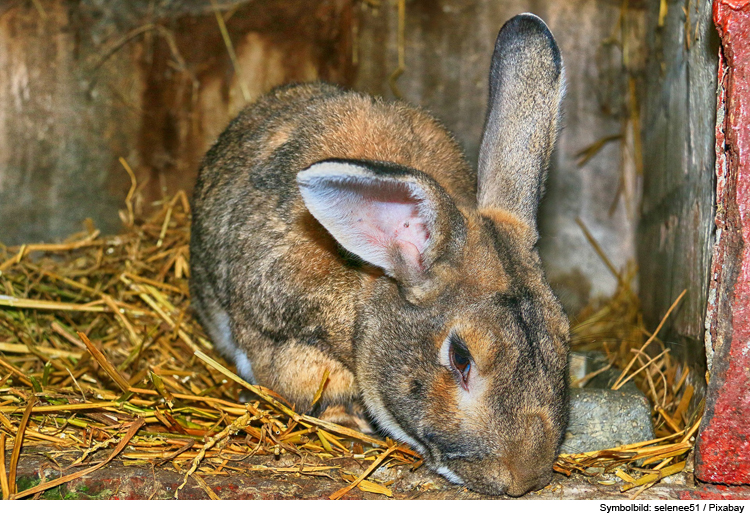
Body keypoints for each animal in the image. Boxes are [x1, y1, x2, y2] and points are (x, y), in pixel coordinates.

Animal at [191, 14, 572, 498]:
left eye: (563, 336)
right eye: (461, 358)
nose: (525, 478)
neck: (368, 284)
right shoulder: (281, 337)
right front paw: (348, 421)